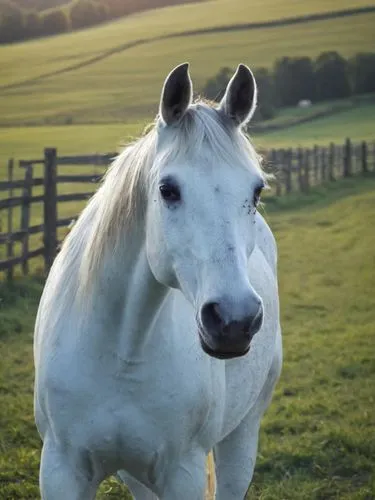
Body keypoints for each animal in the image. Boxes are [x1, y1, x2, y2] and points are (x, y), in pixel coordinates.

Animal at [34, 63, 282, 500]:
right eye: (168, 190)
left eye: (256, 190)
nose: (233, 320)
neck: (122, 351)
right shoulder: (61, 469)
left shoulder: (182, 473)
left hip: (243, 432)